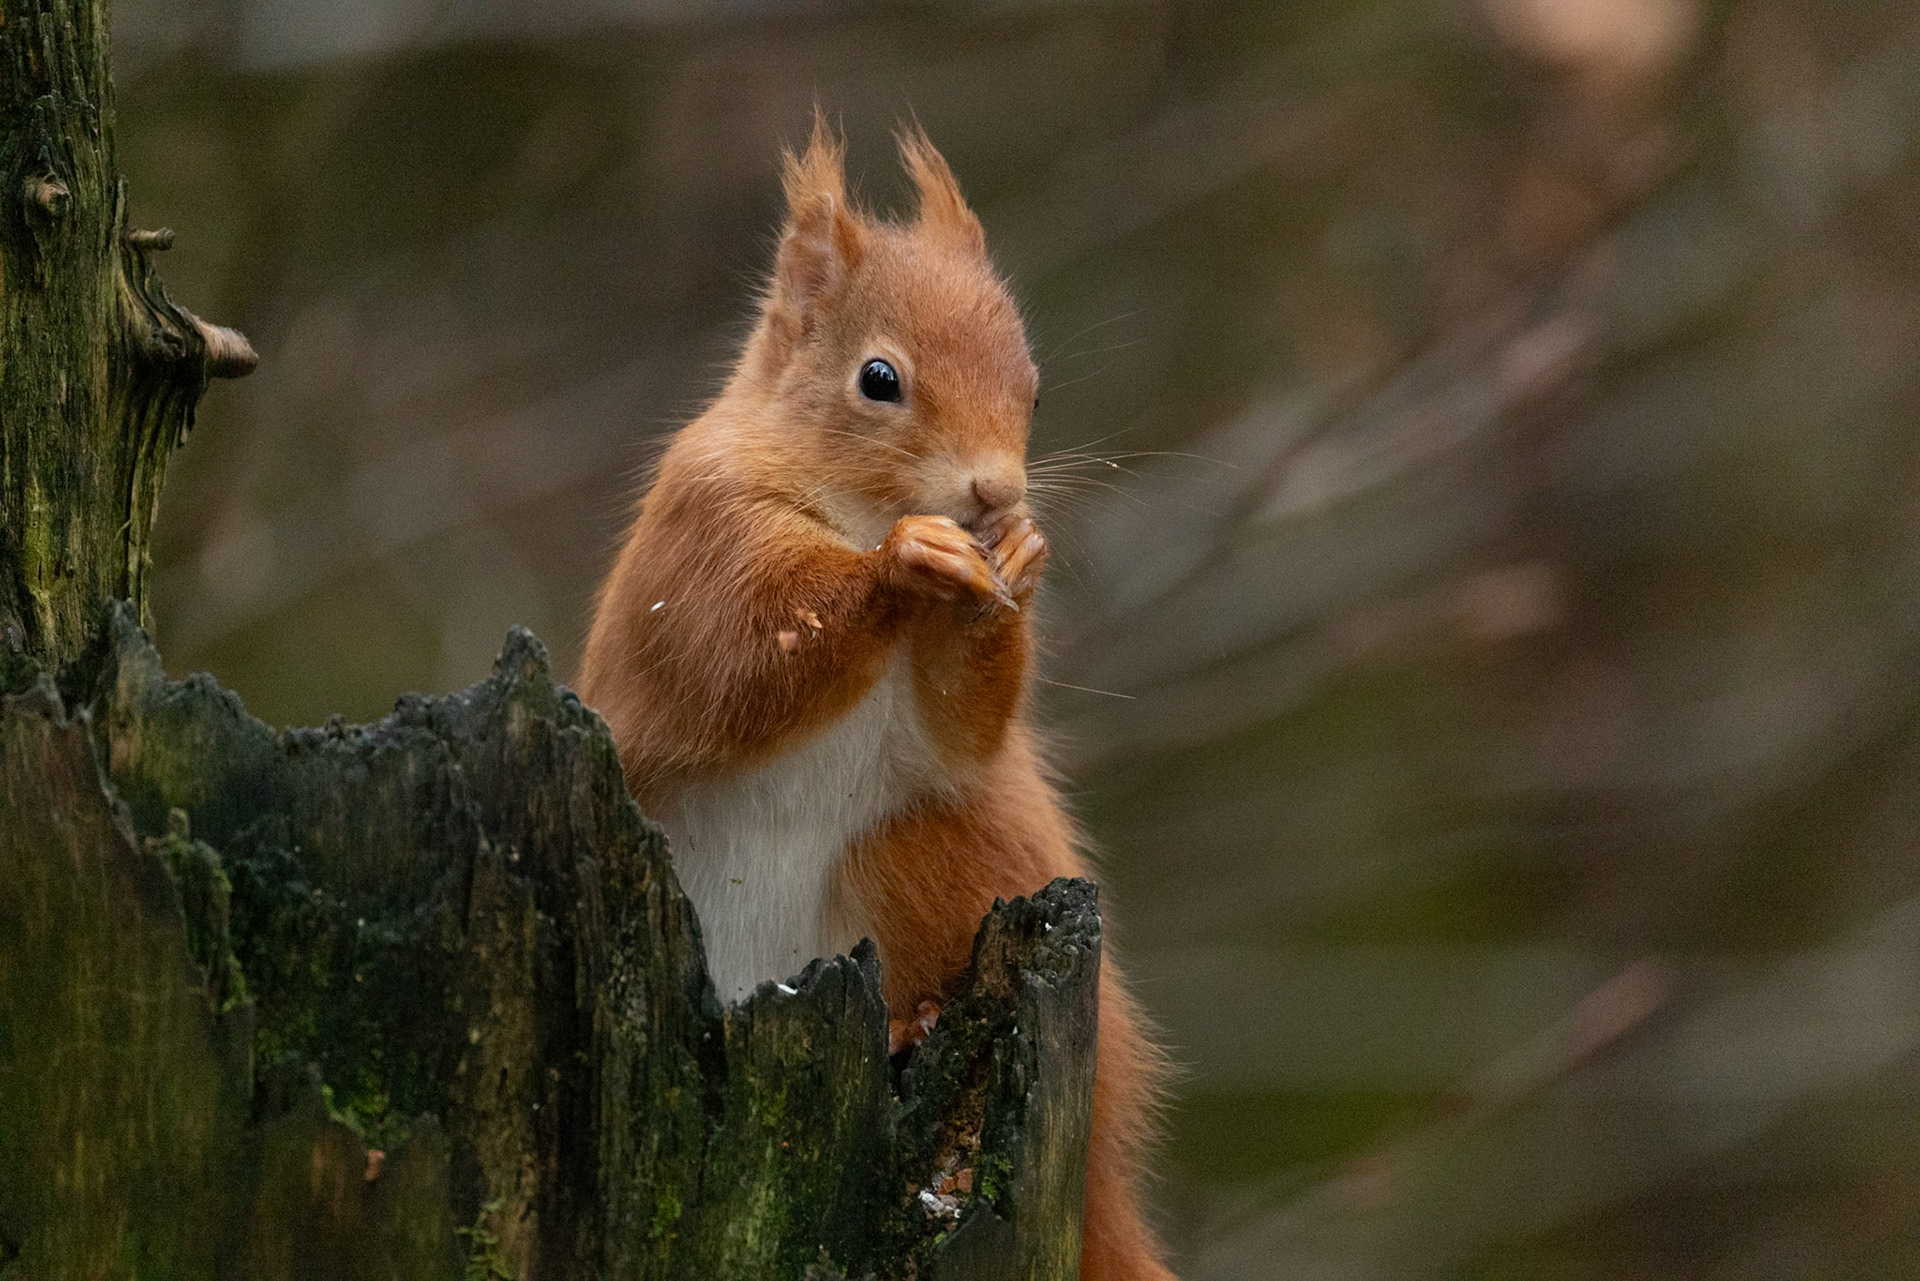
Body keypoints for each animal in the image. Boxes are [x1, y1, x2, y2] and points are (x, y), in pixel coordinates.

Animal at [577, 117, 1174, 1281]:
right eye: (879, 379)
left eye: (1034, 388)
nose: (997, 493)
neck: (850, 508)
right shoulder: (702, 543)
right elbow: (740, 657)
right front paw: (901, 565)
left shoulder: (950, 724)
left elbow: (962, 727)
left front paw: (1013, 565)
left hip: (927, 848)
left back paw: (917, 1019)